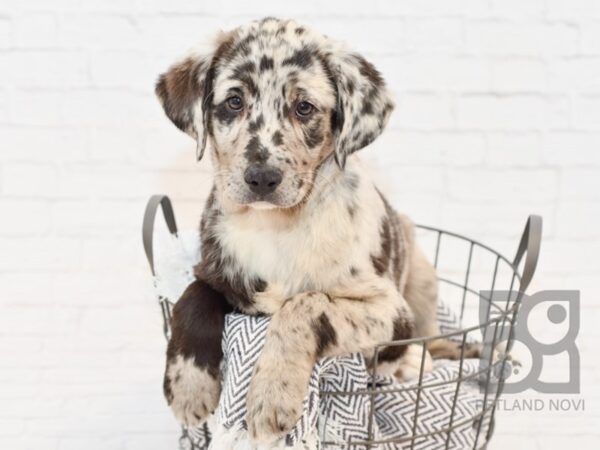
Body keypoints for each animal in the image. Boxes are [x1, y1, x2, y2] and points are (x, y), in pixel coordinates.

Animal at [157, 16, 462, 442]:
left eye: (304, 107)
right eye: (234, 101)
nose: (262, 177)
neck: (273, 226)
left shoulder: (388, 310)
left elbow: (307, 304)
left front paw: (272, 394)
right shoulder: (215, 270)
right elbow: (192, 297)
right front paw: (188, 385)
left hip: (420, 281)